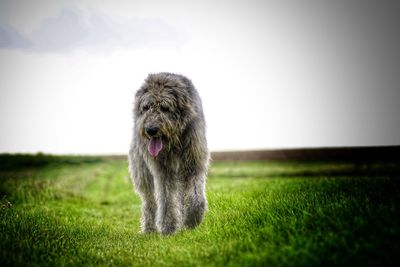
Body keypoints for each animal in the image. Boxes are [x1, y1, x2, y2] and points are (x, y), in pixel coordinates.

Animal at [129, 72, 209, 236]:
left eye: (165, 107)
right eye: (146, 107)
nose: (150, 130)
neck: (174, 140)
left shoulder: (194, 161)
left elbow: (196, 195)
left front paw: (193, 218)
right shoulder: (162, 170)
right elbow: (166, 198)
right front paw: (168, 226)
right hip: (142, 169)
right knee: (150, 200)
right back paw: (149, 228)